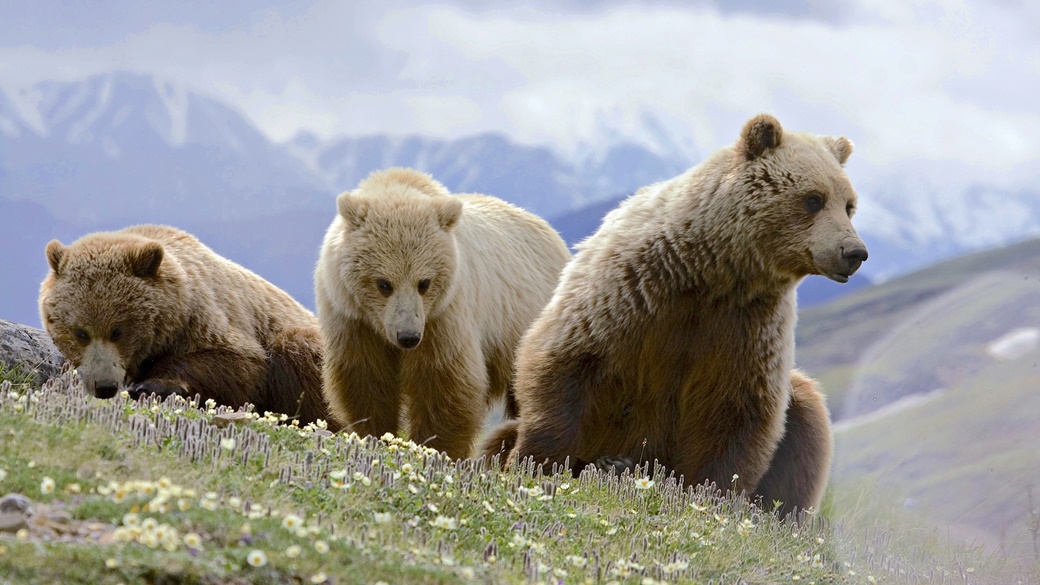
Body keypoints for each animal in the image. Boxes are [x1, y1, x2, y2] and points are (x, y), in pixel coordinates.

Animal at [38, 222, 339, 428]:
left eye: (118, 330)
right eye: (81, 332)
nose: (104, 386)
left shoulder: (207, 316)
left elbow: (238, 362)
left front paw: (152, 385)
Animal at [316, 166, 574, 458]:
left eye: (424, 283)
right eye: (383, 283)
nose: (408, 337)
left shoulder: (444, 317)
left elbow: (443, 384)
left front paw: (434, 448)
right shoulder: (352, 319)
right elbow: (365, 380)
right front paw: (374, 434)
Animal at [482, 115, 865, 514]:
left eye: (849, 204)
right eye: (813, 199)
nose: (854, 251)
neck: (712, 270)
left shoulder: (748, 324)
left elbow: (738, 412)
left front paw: (708, 494)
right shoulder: (631, 290)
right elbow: (564, 360)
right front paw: (535, 462)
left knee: (805, 415)